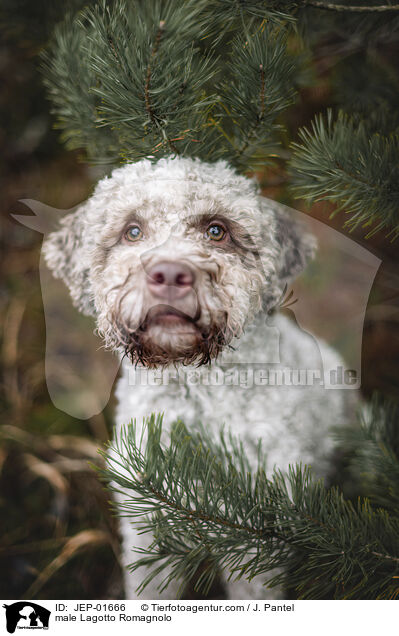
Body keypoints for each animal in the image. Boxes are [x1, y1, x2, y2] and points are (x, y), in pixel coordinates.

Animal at [43, 157, 354, 600]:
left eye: (216, 230)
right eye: (132, 231)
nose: (171, 274)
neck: (194, 401)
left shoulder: (256, 542)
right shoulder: (145, 528)